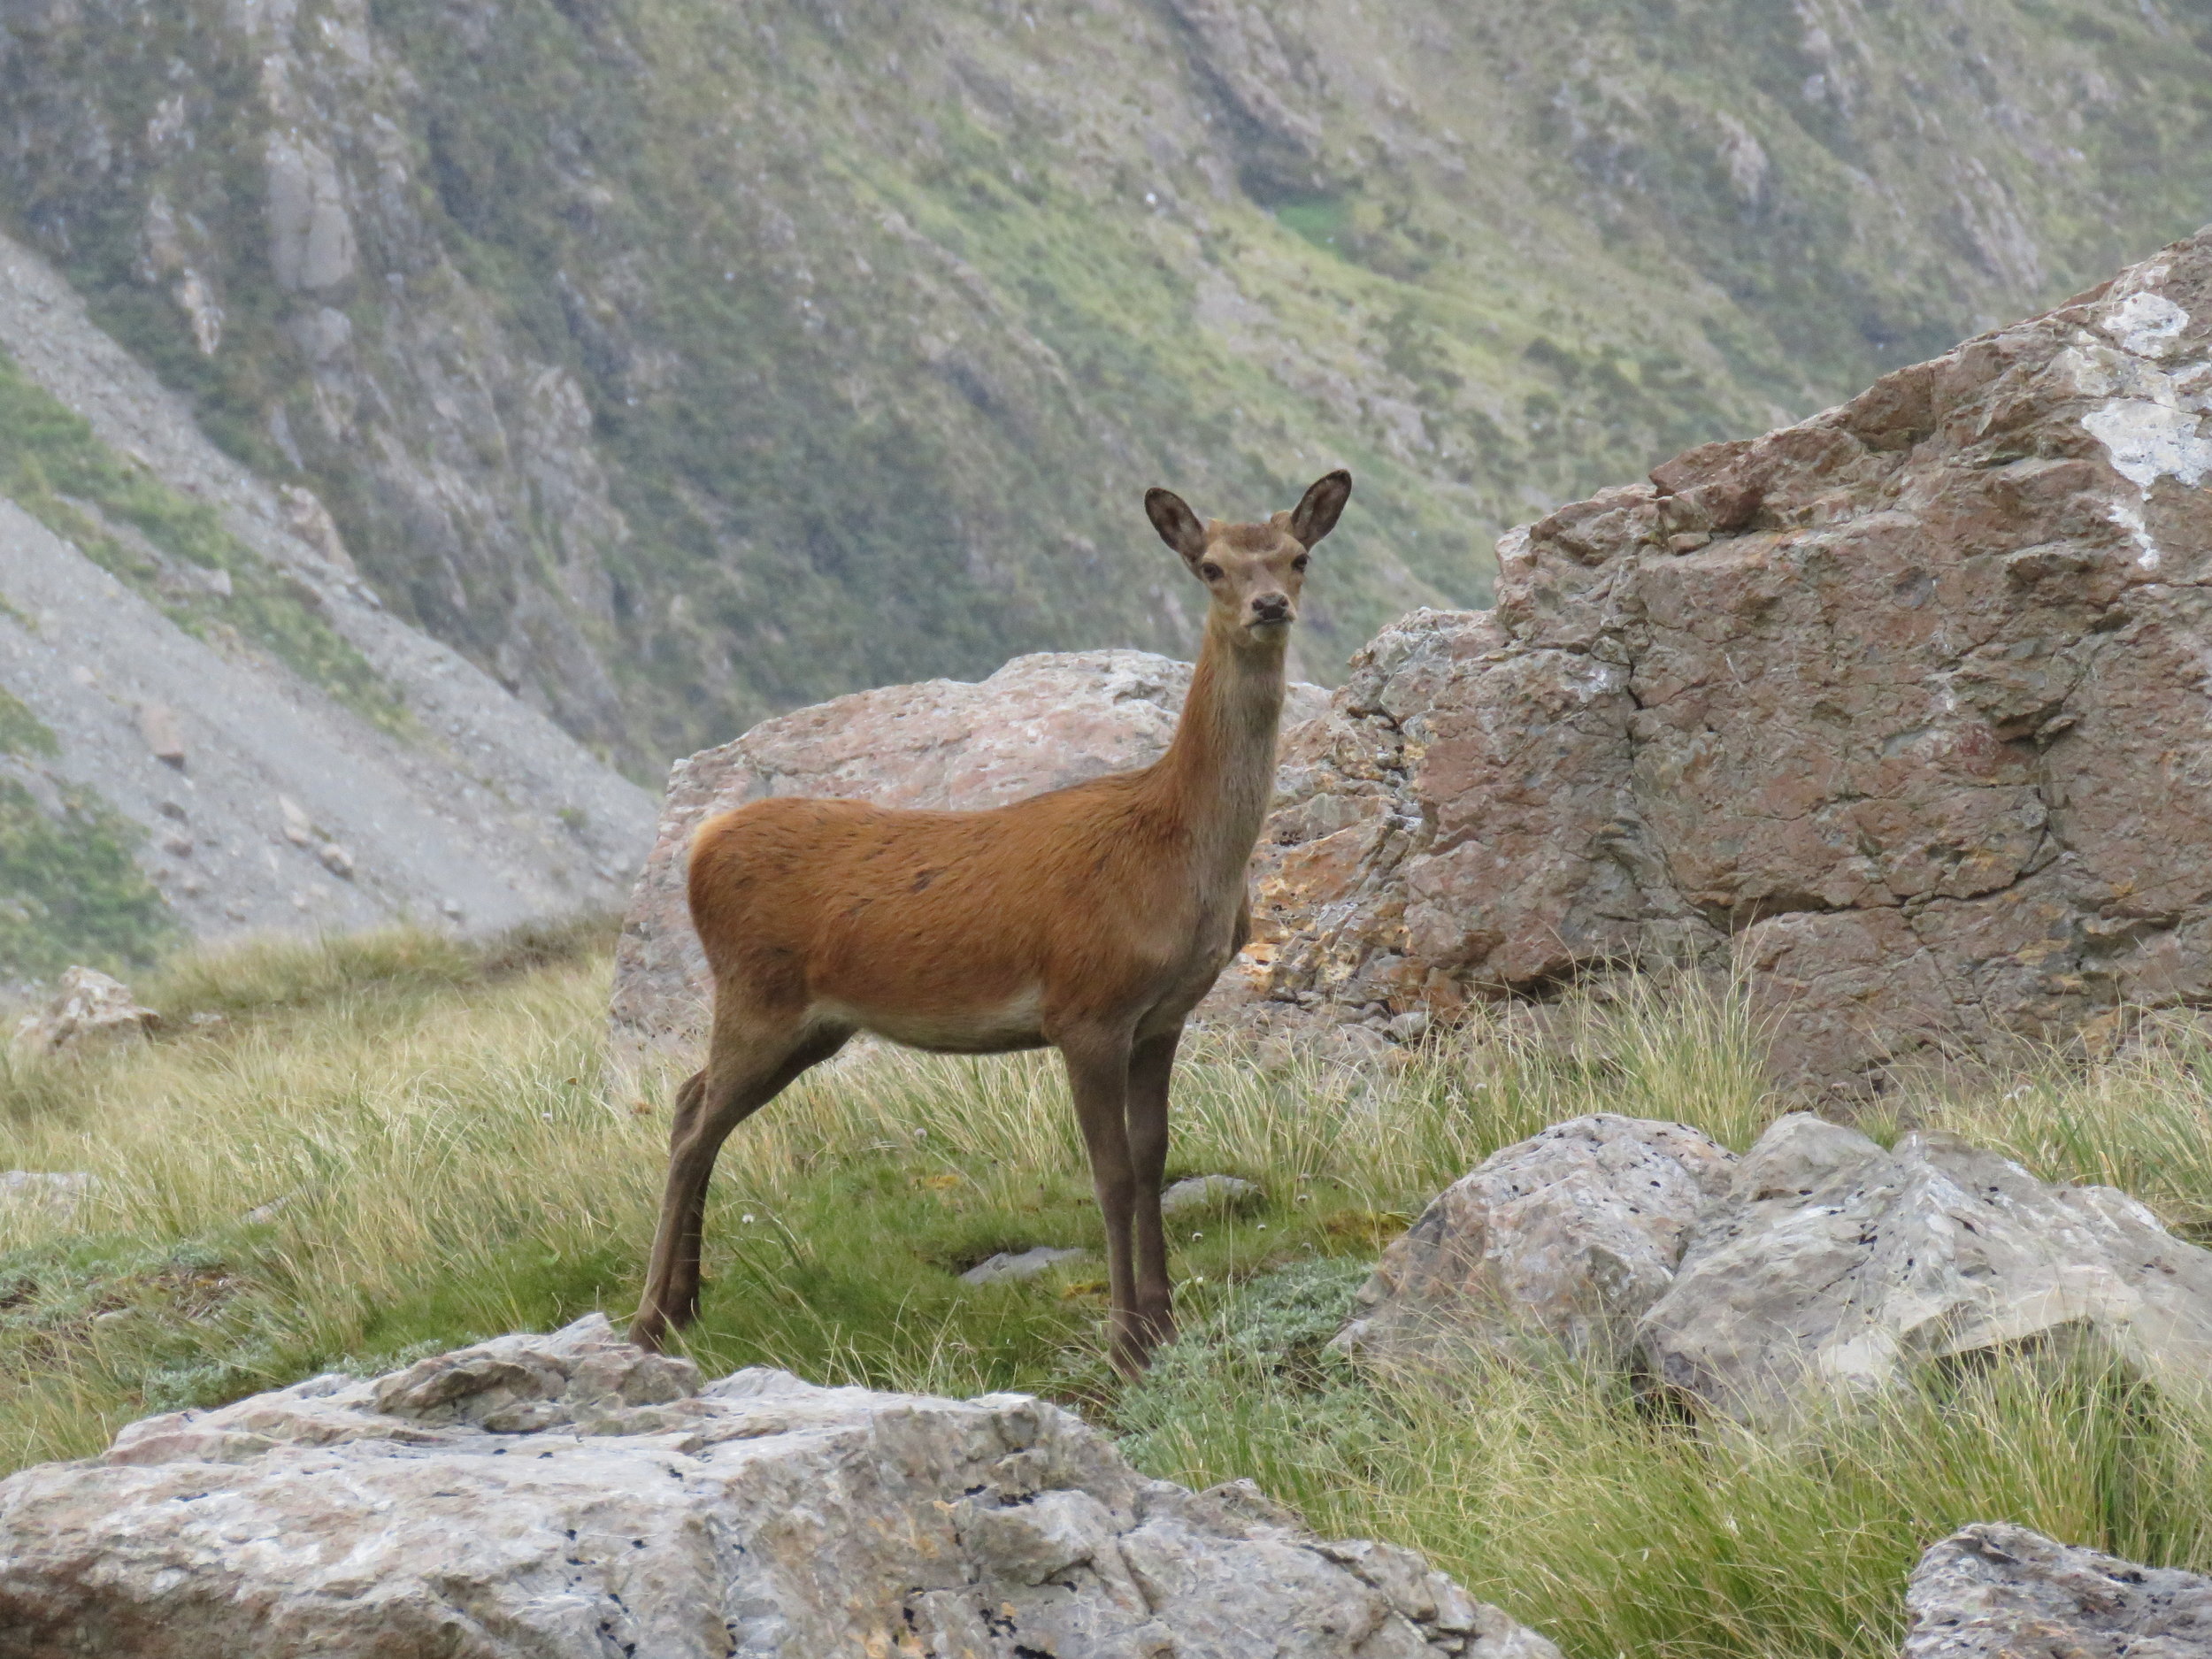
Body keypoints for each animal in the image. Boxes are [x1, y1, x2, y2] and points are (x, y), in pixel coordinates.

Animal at [628, 469, 1345, 1380]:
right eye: (1211, 566)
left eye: (1297, 557)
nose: (1268, 605)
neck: (1177, 855)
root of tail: (700, 843)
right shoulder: (1085, 1006)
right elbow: (1111, 1174)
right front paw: (1125, 1342)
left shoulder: (1162, 1016)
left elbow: (1154, 1160)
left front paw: (1166, 1325)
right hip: (757, 992)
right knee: (693, 1122)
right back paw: (650, 1319)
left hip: (809, 1023)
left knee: (693, 1100)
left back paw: (685, 1304)